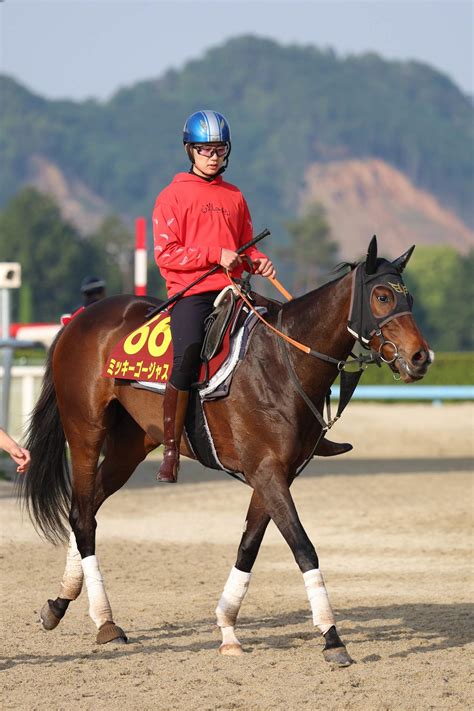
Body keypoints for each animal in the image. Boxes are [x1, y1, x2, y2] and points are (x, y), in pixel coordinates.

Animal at [18, 238, 434, 668]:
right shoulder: (267, 472)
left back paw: (62, 603)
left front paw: (228, 626)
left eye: (409, 298)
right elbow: (303, 547)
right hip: (86, 432)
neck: (282, 362)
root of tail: (79, 320)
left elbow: (248, 546)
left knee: (87, 509)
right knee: (82, 515)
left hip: (130, 446)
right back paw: (105, 621)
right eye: (382, 296)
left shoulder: (276, 474)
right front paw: (332, 637)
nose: (421, 357)